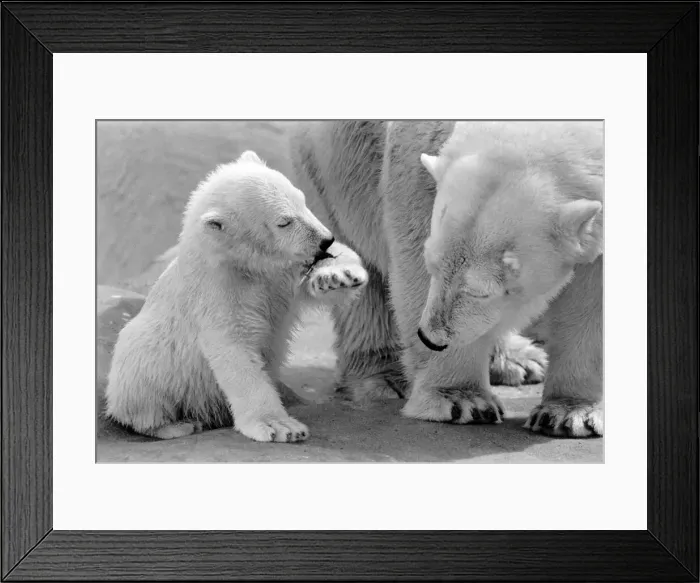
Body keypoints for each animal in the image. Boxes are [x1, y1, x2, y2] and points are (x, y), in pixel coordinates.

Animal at [104, 150, 369, 443]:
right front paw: (281, 426)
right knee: (142, 388)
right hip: (145, 359)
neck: (244, 264)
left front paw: (335, 275)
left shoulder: (278, 275)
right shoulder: (218, 291)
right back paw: (176, 425)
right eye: (284, 221)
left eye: (302, 201)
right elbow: (235, 349)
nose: (326, 239)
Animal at [289, 121, 603, 437]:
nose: (430, 338)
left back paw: (518, 361)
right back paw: (382, 376)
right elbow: (414, 238)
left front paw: (570, 413)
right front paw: (460, 399)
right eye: (433, 265)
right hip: (334, 162)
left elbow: (591, 297)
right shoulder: (418, 147)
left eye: (481, 291)